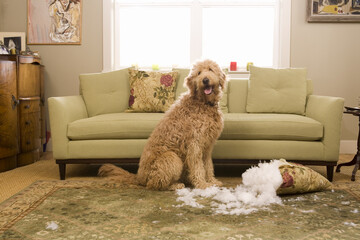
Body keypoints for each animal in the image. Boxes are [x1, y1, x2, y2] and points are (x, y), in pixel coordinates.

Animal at [98, 59, 226, 190]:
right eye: (199, 73)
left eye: (210, 69)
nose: (205, 80)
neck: (203, 102)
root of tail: (139, 178)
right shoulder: (195, 145)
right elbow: (198, 167)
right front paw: (202, 184)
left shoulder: (207, 146)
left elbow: (208, 165)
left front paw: (212, 181)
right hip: (171, 158)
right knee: (156, 184)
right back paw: (175, 185)